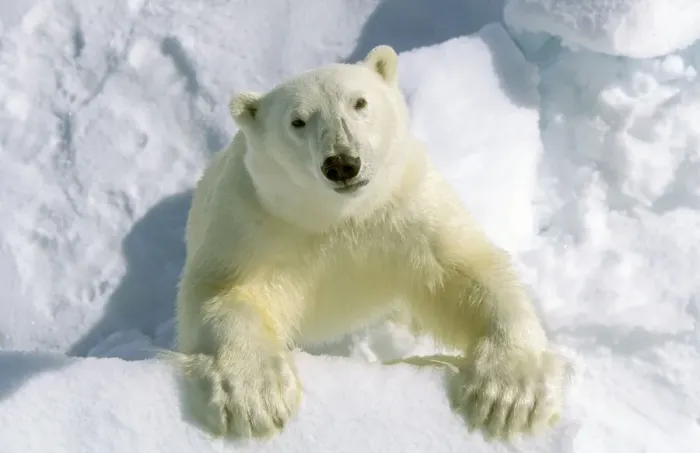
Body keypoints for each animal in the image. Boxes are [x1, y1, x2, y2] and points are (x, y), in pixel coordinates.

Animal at [170, 45, 571, 442]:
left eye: (359, 102)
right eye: (297, 121)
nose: (342, 163)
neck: (339, 216)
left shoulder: (406, 210)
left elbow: (465, 271)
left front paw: (509, 396)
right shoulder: (255, 227)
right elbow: (224, 294)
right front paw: (253, 398)